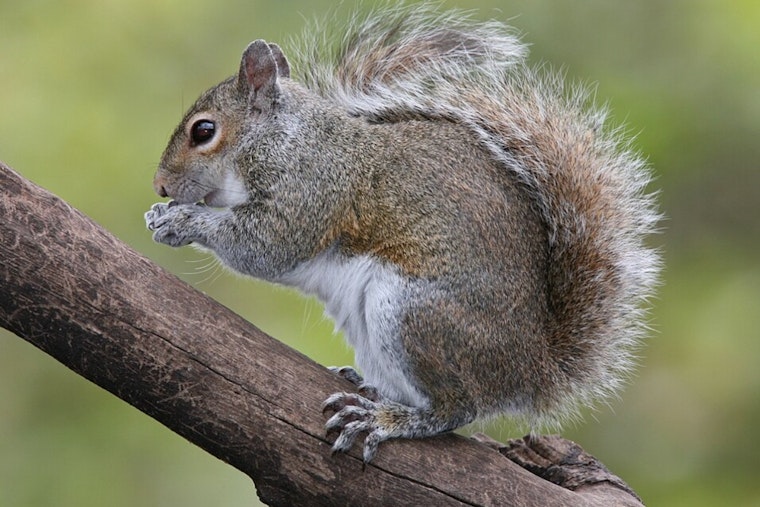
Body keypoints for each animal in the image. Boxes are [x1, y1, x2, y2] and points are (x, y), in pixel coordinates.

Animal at [144, 5, 660, 463]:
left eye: (203, 131)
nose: (160, 186)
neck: (283, 138)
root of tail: (533, 369)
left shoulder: (310, 190)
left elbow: (265, 246)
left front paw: (180, 221)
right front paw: (161, 214)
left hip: (412, 314)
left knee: (456, 408)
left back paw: (387, 418)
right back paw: (367, 385)